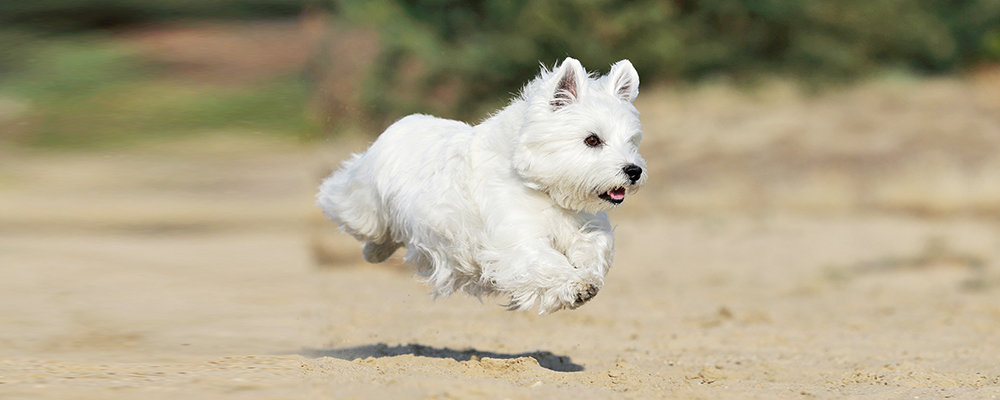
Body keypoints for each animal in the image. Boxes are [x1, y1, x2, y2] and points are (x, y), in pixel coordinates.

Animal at [320, 57, 648, 312]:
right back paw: (366, 245)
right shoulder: (515, 240)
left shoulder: (582, 223)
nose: (634, 171)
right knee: (354, 212)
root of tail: (402, 122)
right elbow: (544, 262)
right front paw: (576, 285)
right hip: (364, 201)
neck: (540, 187)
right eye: (592, 140)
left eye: (631, 141)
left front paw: (589, 274)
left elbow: (596, 244)